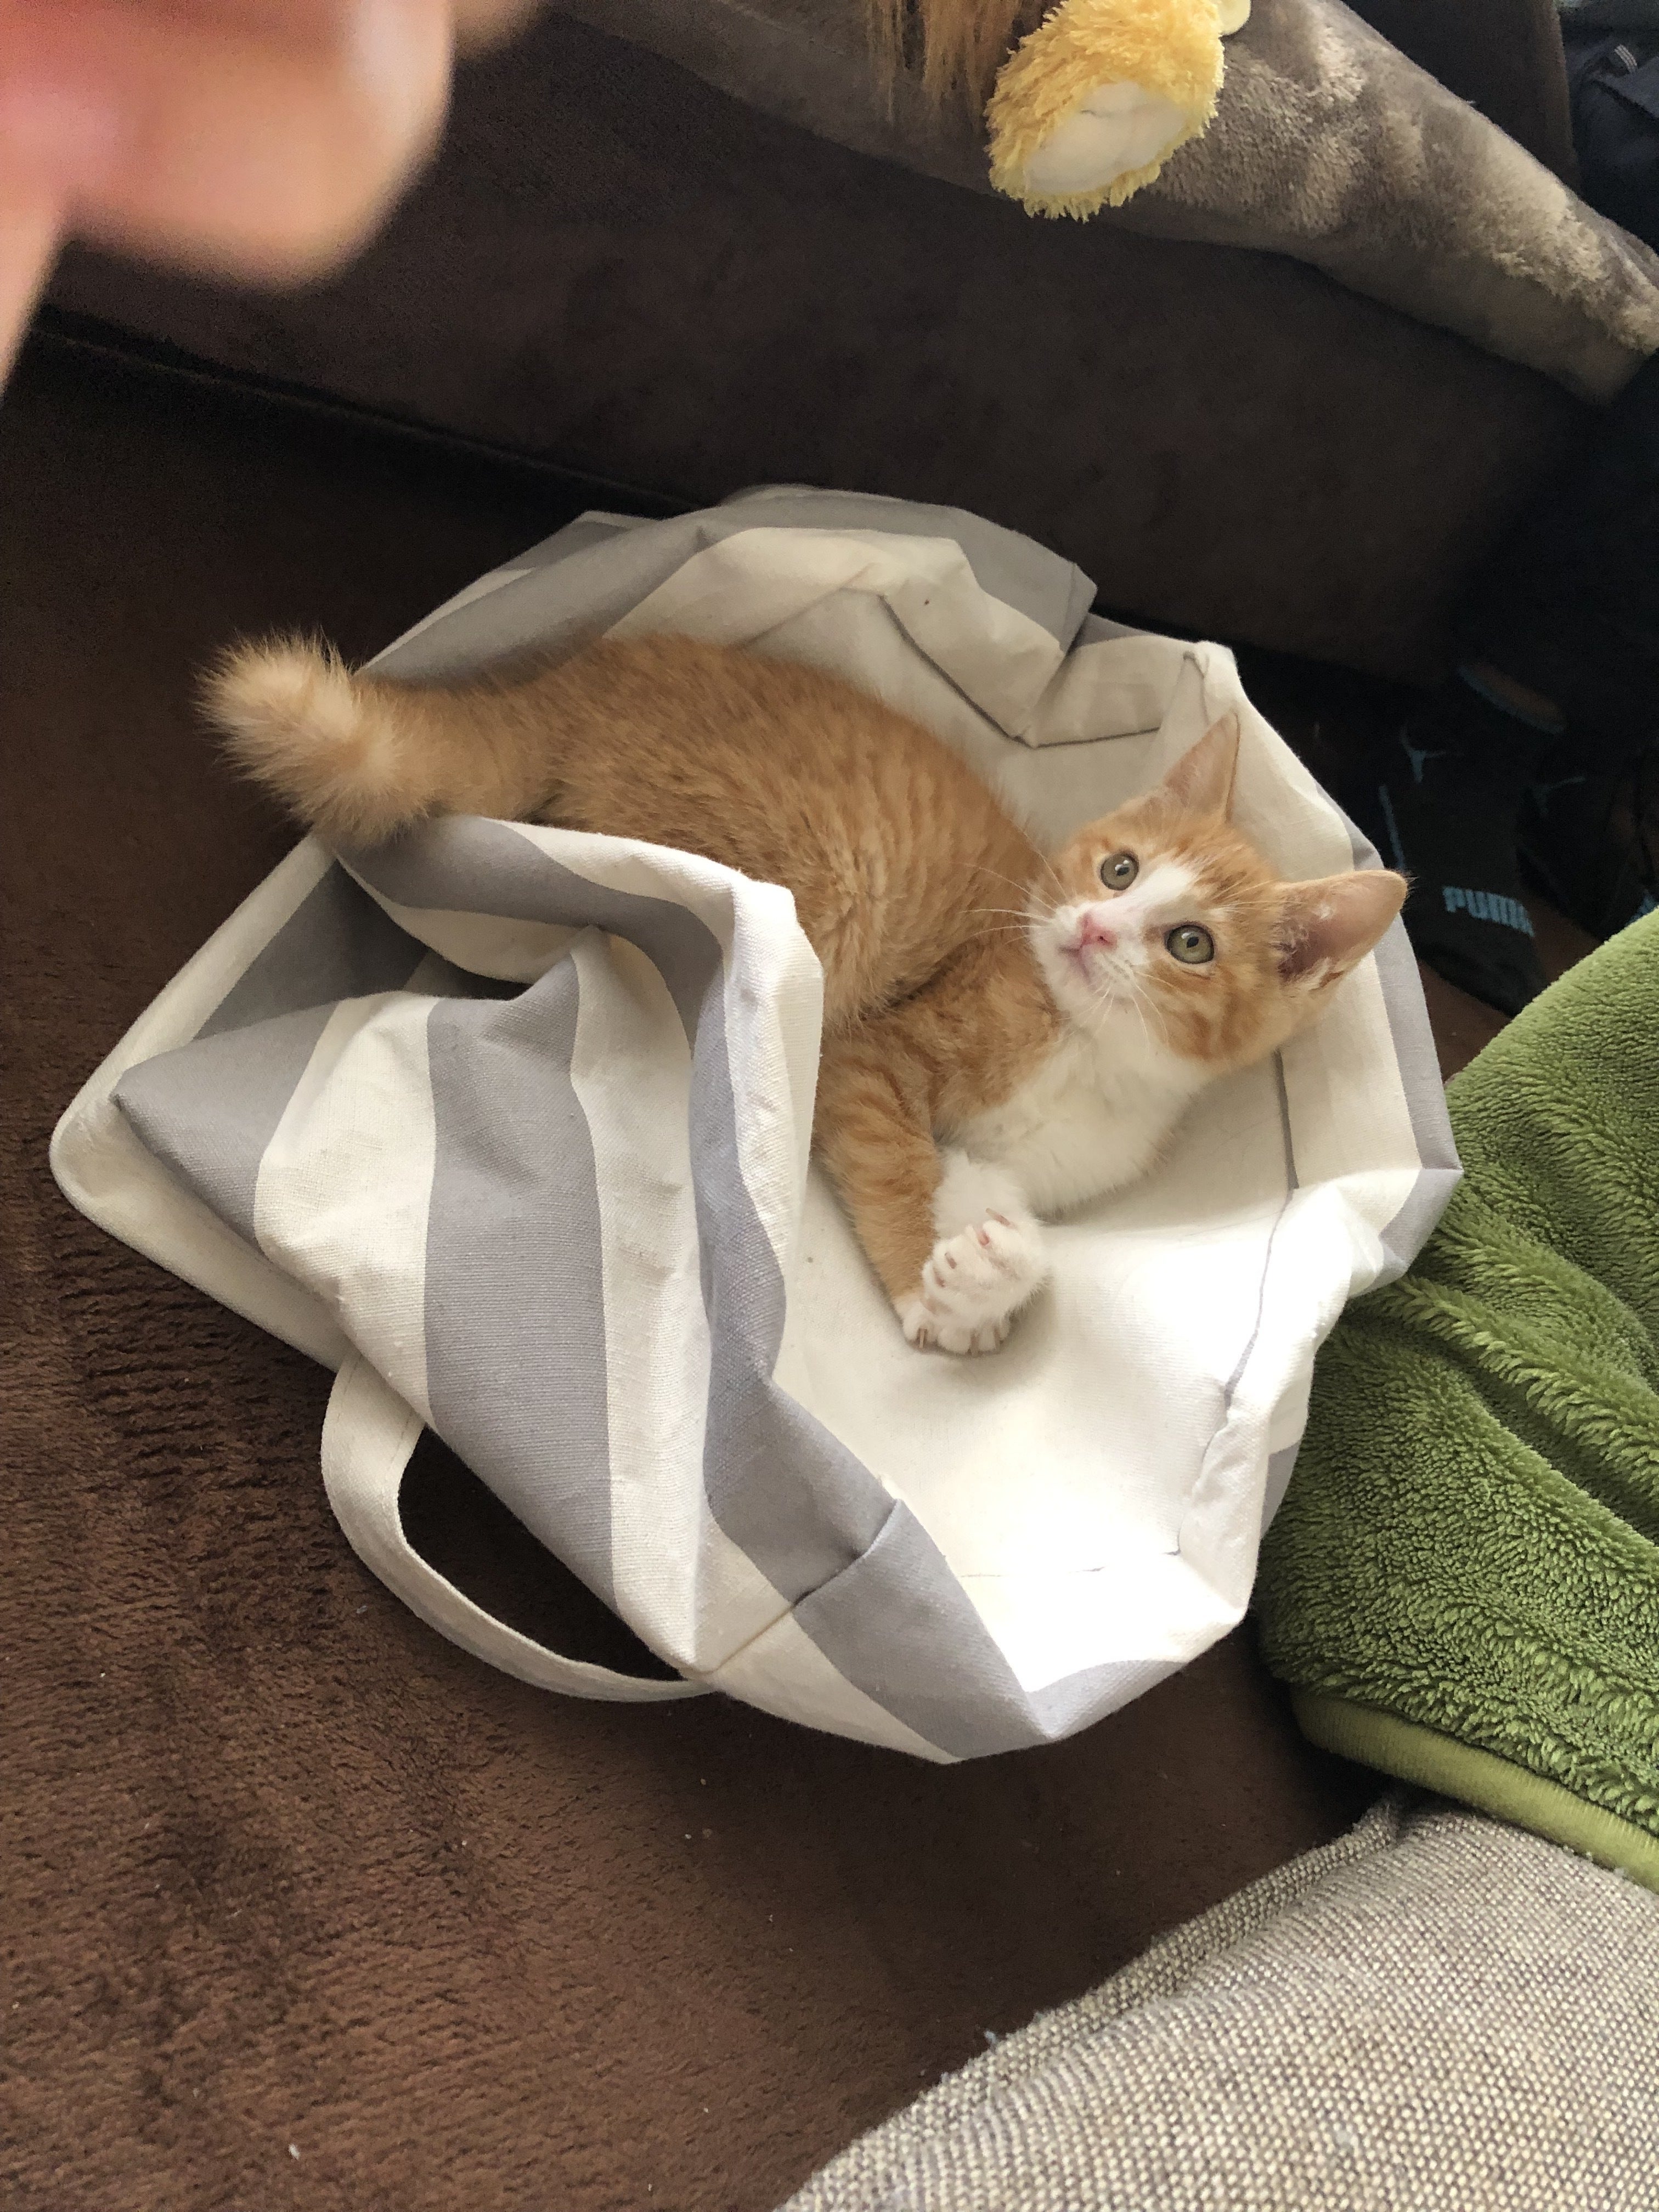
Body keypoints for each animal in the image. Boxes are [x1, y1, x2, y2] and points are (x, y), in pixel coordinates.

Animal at [204, 632, 1406, 1355]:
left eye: (1189, 942)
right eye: (1118, 870)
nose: (1091, 928)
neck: (1089, 1050)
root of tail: (595, 668)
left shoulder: (1011, 1160)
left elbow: (979, 1197)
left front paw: (986, 1275)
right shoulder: (877, 1058)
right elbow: (892, 1161)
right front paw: (926, 1289)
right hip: (807, 878)